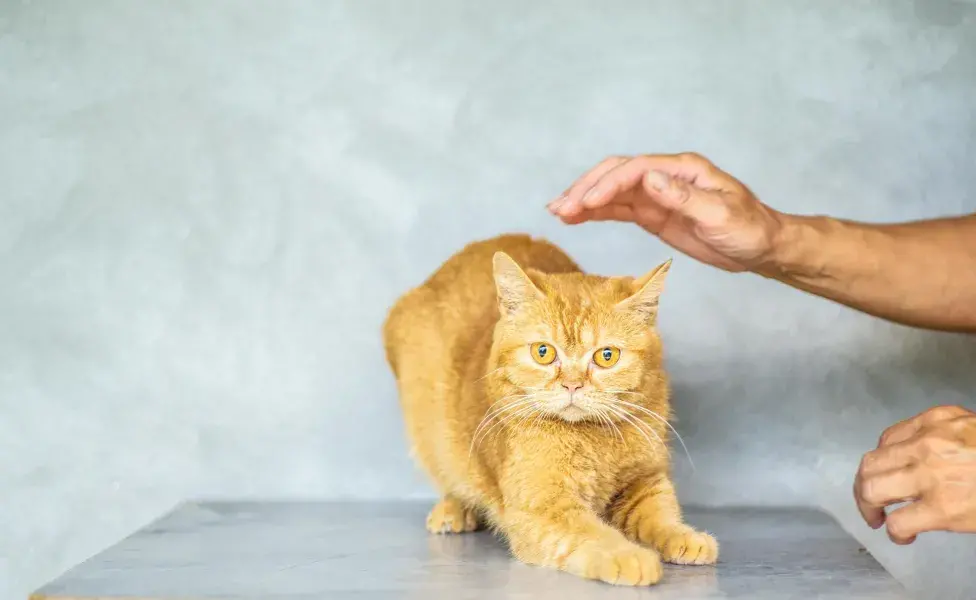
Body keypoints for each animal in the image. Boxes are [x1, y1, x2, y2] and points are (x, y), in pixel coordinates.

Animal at [384, 233, 716, 584]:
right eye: (543, 352)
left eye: (606, 356)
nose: (572, 385)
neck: (591, 439)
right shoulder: (543, 506)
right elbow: (589, 534)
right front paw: (629, 557)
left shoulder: (644, 480)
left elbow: (661, 514)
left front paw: (685, 537)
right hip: (429, 428)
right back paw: (454, 510)